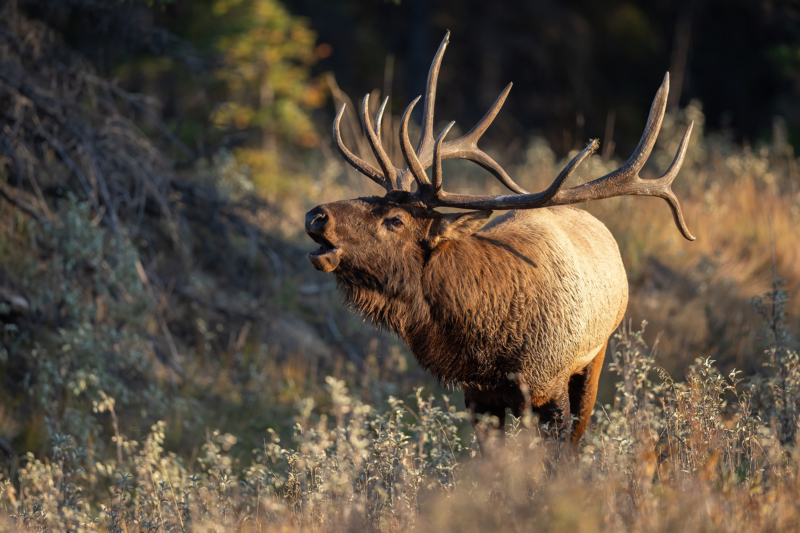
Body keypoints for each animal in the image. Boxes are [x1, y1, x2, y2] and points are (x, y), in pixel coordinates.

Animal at [305, 32, 694, 452]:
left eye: (396, 220)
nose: (316, 216)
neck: (488, 342)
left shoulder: (550, 385)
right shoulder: (479, 395)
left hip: (596, 355)